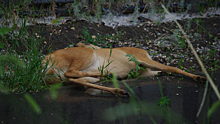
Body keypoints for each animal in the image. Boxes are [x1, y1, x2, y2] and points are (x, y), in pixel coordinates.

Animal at [41, 42, 206, 97]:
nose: (77, 42)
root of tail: (45, 61)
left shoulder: (143, 70)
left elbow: (162, 71)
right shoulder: (142, 59)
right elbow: (174, 67)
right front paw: (199, 77)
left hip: (64, 79)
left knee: (78, 80)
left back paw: (118, 88)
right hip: (85, 54)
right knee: (71, 73)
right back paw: (111, 75)